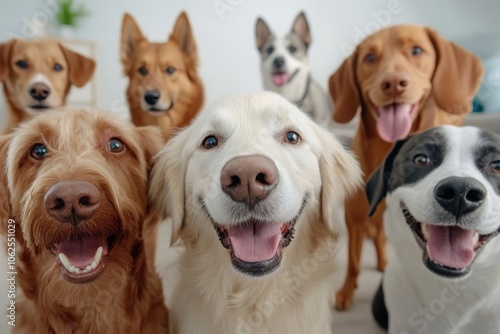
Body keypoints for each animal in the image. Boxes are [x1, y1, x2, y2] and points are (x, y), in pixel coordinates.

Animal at [328, 25, 484, 310]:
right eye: (369, 58)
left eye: (417, 50)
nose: (392, 83)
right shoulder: (355, 221)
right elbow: (354, 262)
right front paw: (346, 291)